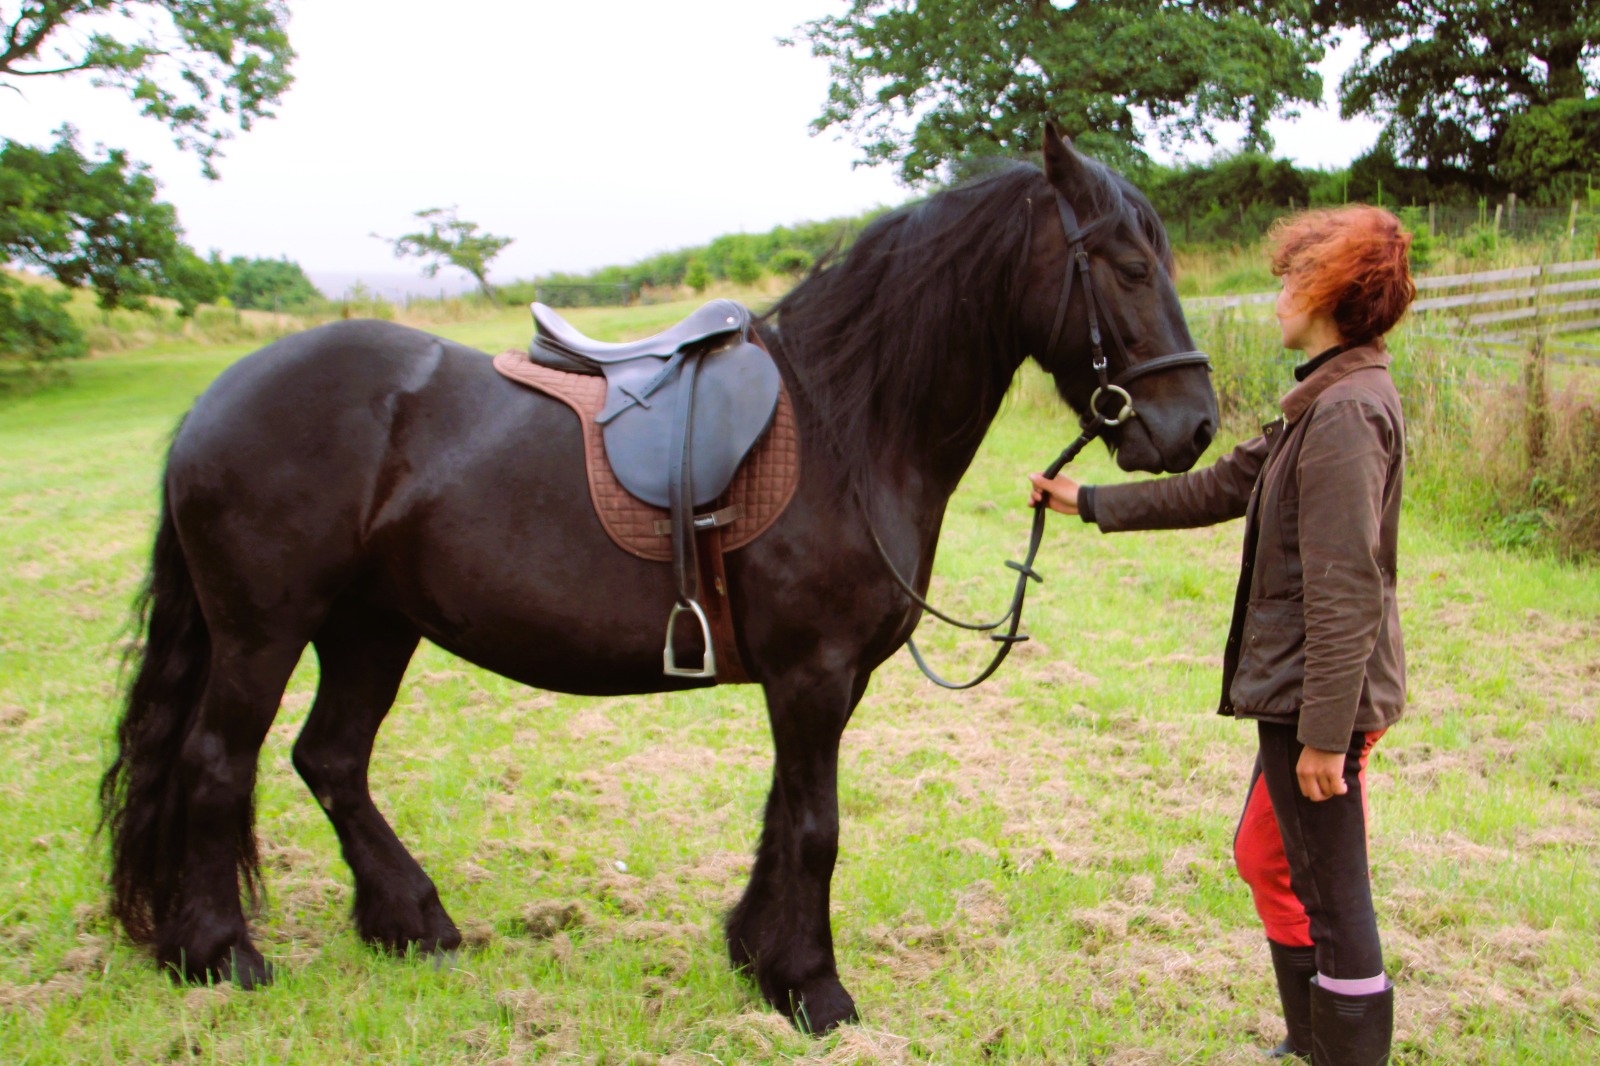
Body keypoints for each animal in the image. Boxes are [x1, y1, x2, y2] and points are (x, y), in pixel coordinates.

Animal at [99, 125, 1217, 1032]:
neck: (846, 424)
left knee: (330, 759)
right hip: (264, 630)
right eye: (1124, 265)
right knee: (216, 763)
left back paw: (409, 922)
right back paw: (221, 954)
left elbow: (782, 815)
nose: (1195, 427)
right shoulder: (812, 673)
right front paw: (814, 988)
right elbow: (816, 824)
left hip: (371, 626)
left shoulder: (823, 682)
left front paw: (758, 957)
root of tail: (217, 400)